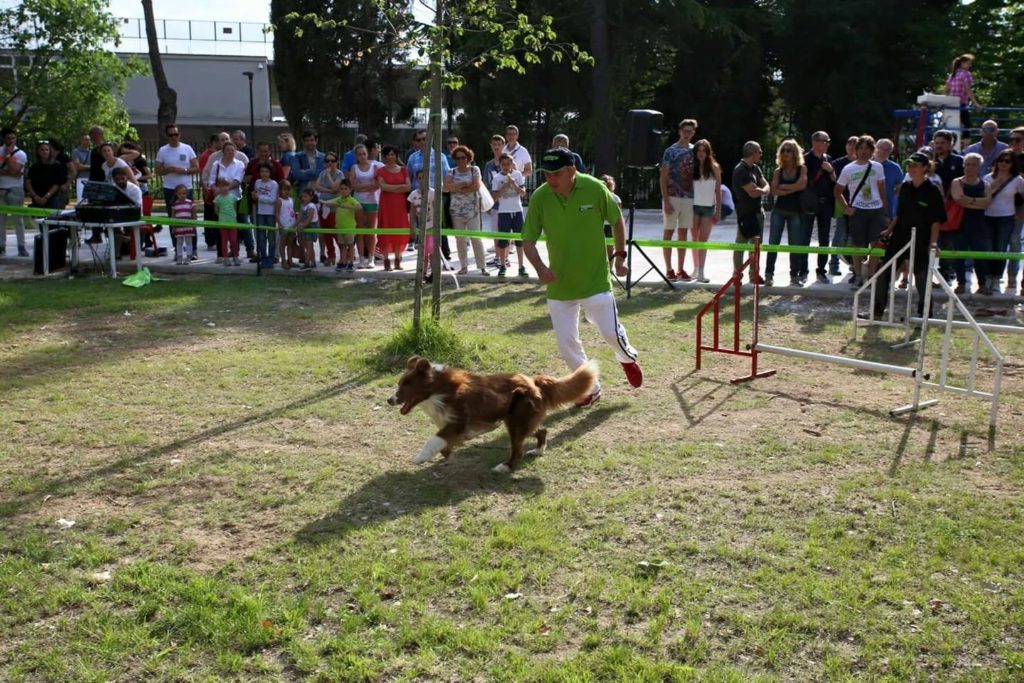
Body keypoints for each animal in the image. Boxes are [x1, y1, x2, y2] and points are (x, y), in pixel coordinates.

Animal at [391, 356, 598, 473]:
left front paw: (421, 457)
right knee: (542, 430)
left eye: (406, 385)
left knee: (518, 450)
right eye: (400, 383)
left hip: (516, 423)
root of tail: (534, 381)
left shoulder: (458, 422)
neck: (439, 390)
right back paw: (539, 450)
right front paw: (446, 455)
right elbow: (443, 443)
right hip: (522, 421)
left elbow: (434, 438)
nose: (389, 400)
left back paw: (505, 467)